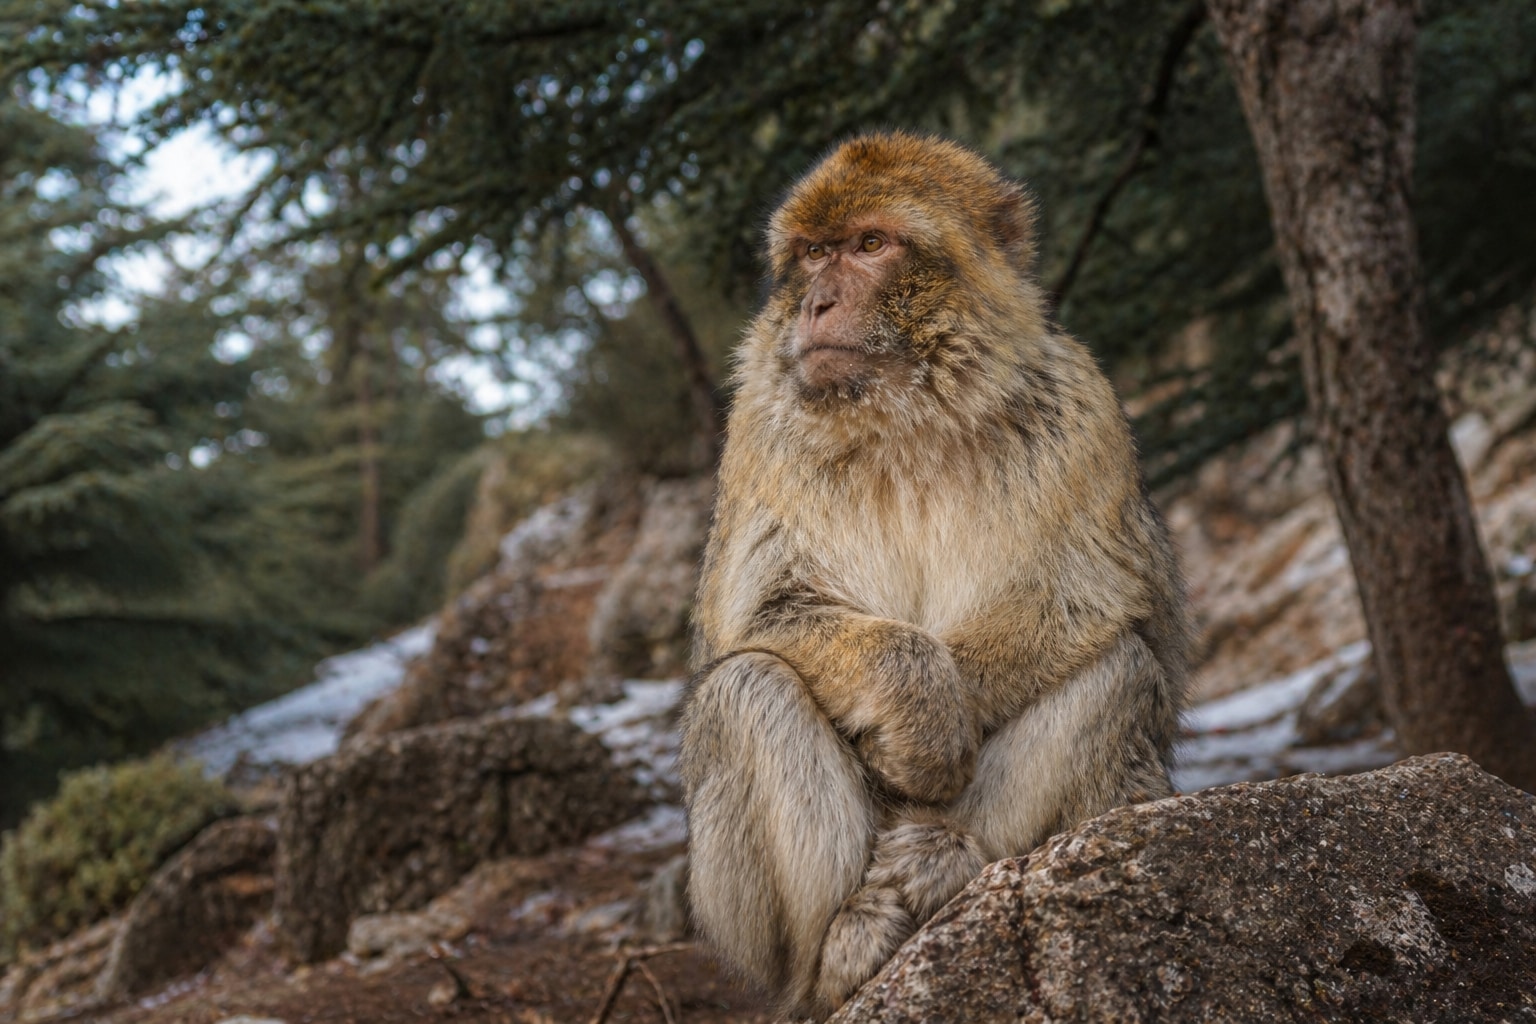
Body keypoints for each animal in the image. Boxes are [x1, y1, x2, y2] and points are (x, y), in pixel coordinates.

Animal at [678, 132, 1188, 1021]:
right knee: (747, 688)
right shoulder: (759, 433)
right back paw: (841, 950)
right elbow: (764, 612)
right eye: (812, 254)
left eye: (869, 245)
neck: (905, 413)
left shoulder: (1080, 406)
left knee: (1121, 665)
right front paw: (922, 713)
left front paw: (932, 737)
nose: (816, 304)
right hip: (751, 934)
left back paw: (943, 856)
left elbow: (1088, 591)